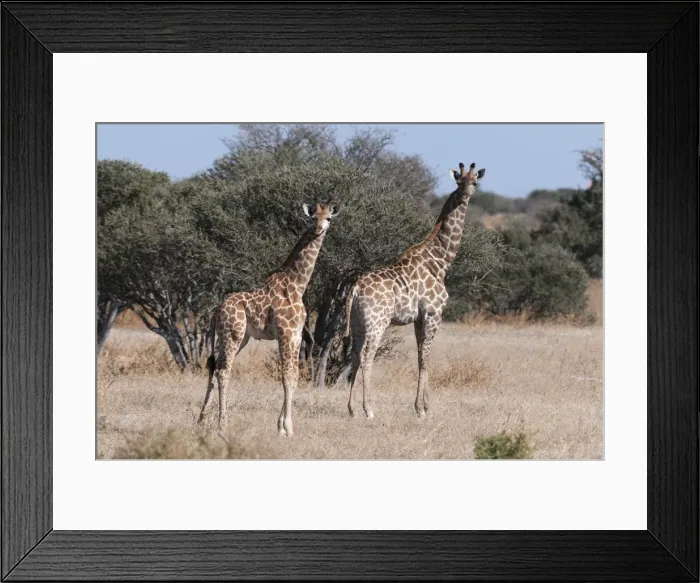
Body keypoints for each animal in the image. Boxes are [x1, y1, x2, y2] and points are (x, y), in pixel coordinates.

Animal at [198, 200, 340, 436]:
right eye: (313, 217)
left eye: (328, 218)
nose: (319, 228)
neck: (297, 285)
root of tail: (217, 310)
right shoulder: (285, 333)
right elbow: (286, 377)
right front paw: (287, 428)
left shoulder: (296, 336)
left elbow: (294, 377)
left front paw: (281, 426)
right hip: (233, 334)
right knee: (223, 371)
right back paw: (222, 423)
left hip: (236, 337)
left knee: (214, 366)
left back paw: (201, 420)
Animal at [343, 161, 485, 419]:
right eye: (459, 181)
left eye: (475, 182)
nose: (465, 195)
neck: (440, 261)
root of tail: (355, 288)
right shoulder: (433, 314)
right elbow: (426, 356)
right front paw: (421, 409)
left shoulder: (419, 318)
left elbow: (420, 356)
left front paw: (423, 405)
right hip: (377, 322)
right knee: (368, 356)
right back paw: (369, 409)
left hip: (357, 323)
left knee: (356, 355)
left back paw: (351, 409)